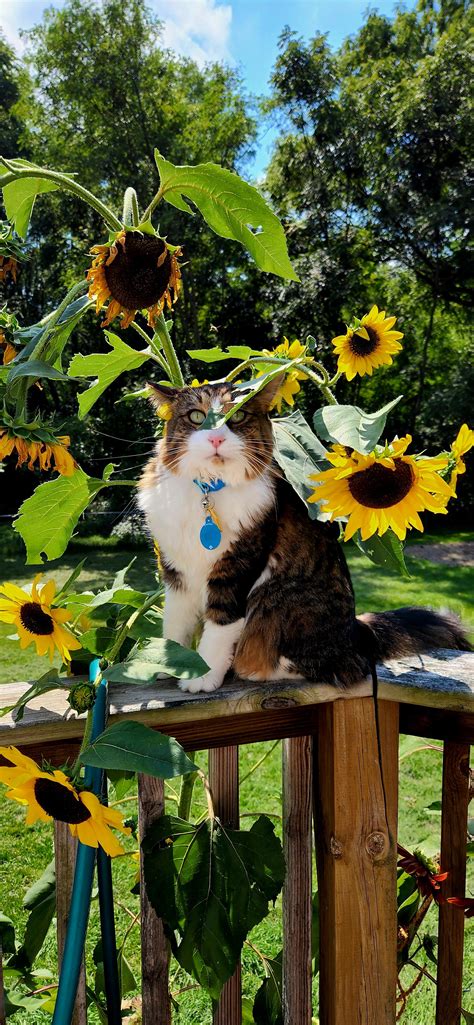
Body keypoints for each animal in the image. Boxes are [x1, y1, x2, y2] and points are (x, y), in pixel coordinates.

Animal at [137, 373, 469, 692]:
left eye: (238, 415)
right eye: (196, 416)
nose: (217, 437)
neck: (207, 492)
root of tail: (357, 629)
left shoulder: (237, 571)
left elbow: (218, 627)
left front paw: (201, 675)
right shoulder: (175, 573)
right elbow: (174, 624)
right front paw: (172, 663)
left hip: (278, 597)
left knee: (343, 668)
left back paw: (251, 669)